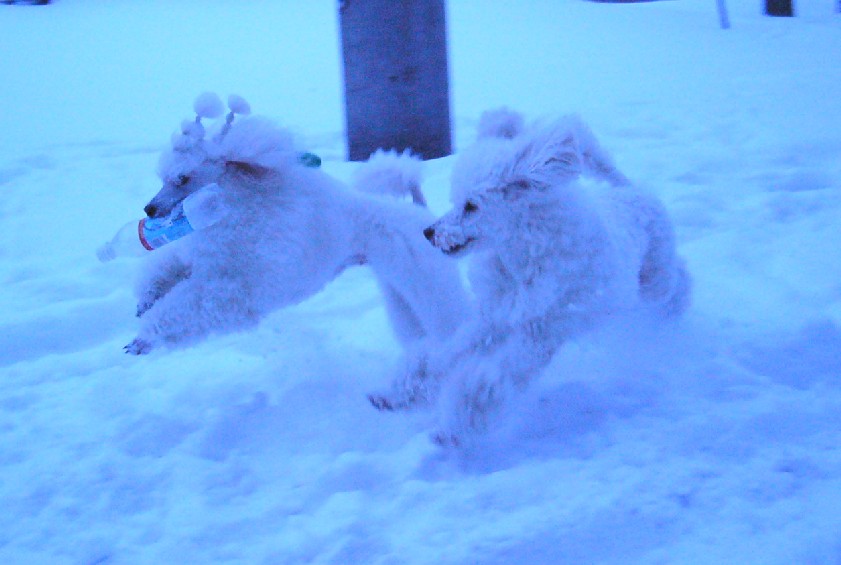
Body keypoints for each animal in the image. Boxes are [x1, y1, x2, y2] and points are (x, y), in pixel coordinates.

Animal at [126, 93, 469, 355]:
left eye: (182, 178)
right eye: (163, 177)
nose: (150, 209)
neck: (236, 204)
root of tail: (421, 212)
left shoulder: (234, 288)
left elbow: (188, 307)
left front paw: (144, 338)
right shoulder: (196, 256)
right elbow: (166, 268)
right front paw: (146, 300)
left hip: (426, 281)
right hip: (396, 289)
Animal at [370, 109, 691, 445]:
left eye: (471, 205)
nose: (429, 232)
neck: (523, 260)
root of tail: (628, 189)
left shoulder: (541, 333)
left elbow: (489, 382)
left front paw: (452, 429)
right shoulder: (492, 319)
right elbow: (444, 357)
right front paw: (396, 395)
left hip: (654, 278)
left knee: (675, 277)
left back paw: (676, 304)